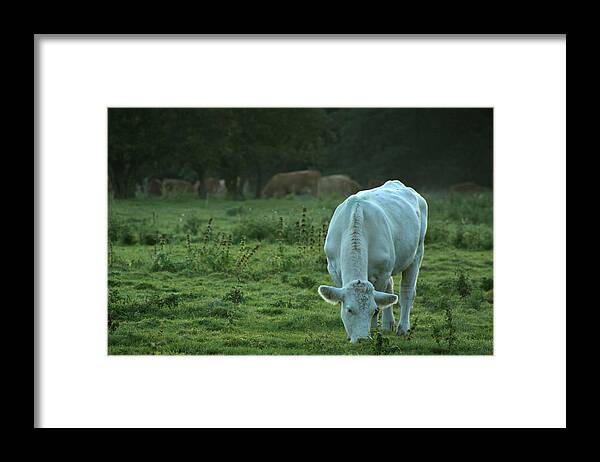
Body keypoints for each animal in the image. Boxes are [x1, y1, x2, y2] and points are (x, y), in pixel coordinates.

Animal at [316, 180, 428, 342]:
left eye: (372, 310)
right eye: (349, 310)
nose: (362, 339)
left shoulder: (382, 273)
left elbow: (380, 300)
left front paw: (374, 330)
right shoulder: (333, 269)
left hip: (417, 252)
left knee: (407, 291)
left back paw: (402, 328)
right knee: (390, 289)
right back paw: (388, 325)